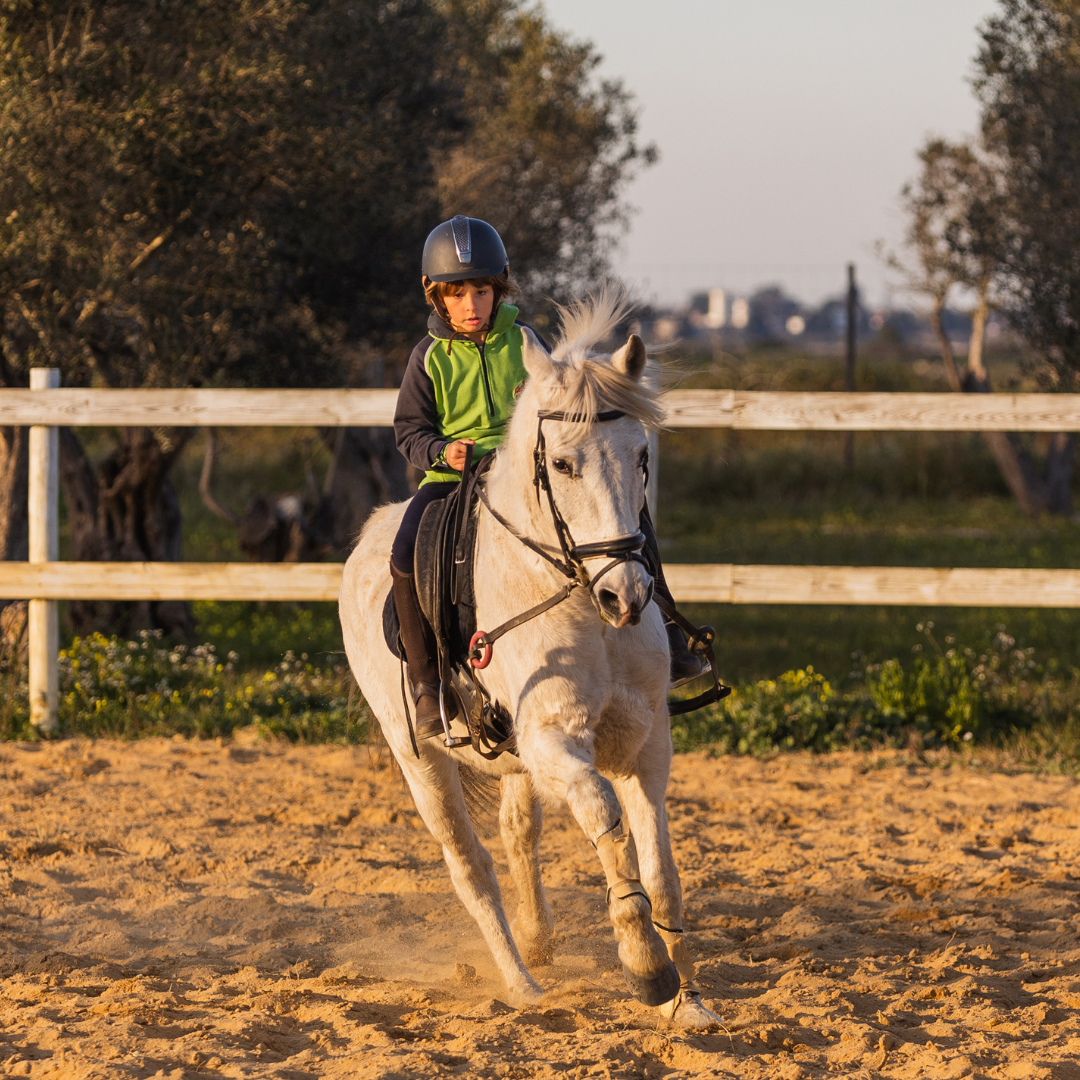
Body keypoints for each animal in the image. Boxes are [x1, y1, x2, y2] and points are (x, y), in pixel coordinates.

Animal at [341, 293, 721, 1028]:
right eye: (564, 465)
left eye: (641, 456)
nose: (626, 596)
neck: (577, 602)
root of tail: (369, 534)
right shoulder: (553, 740)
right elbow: (604, 817)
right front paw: (647, 967)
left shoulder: (647, 741)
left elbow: (661, 868)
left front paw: (688, 1001)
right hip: (421, 762)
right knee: (471, 867)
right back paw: (521, 984)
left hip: (513, 762)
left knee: (517, 832)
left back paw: (539, 941)